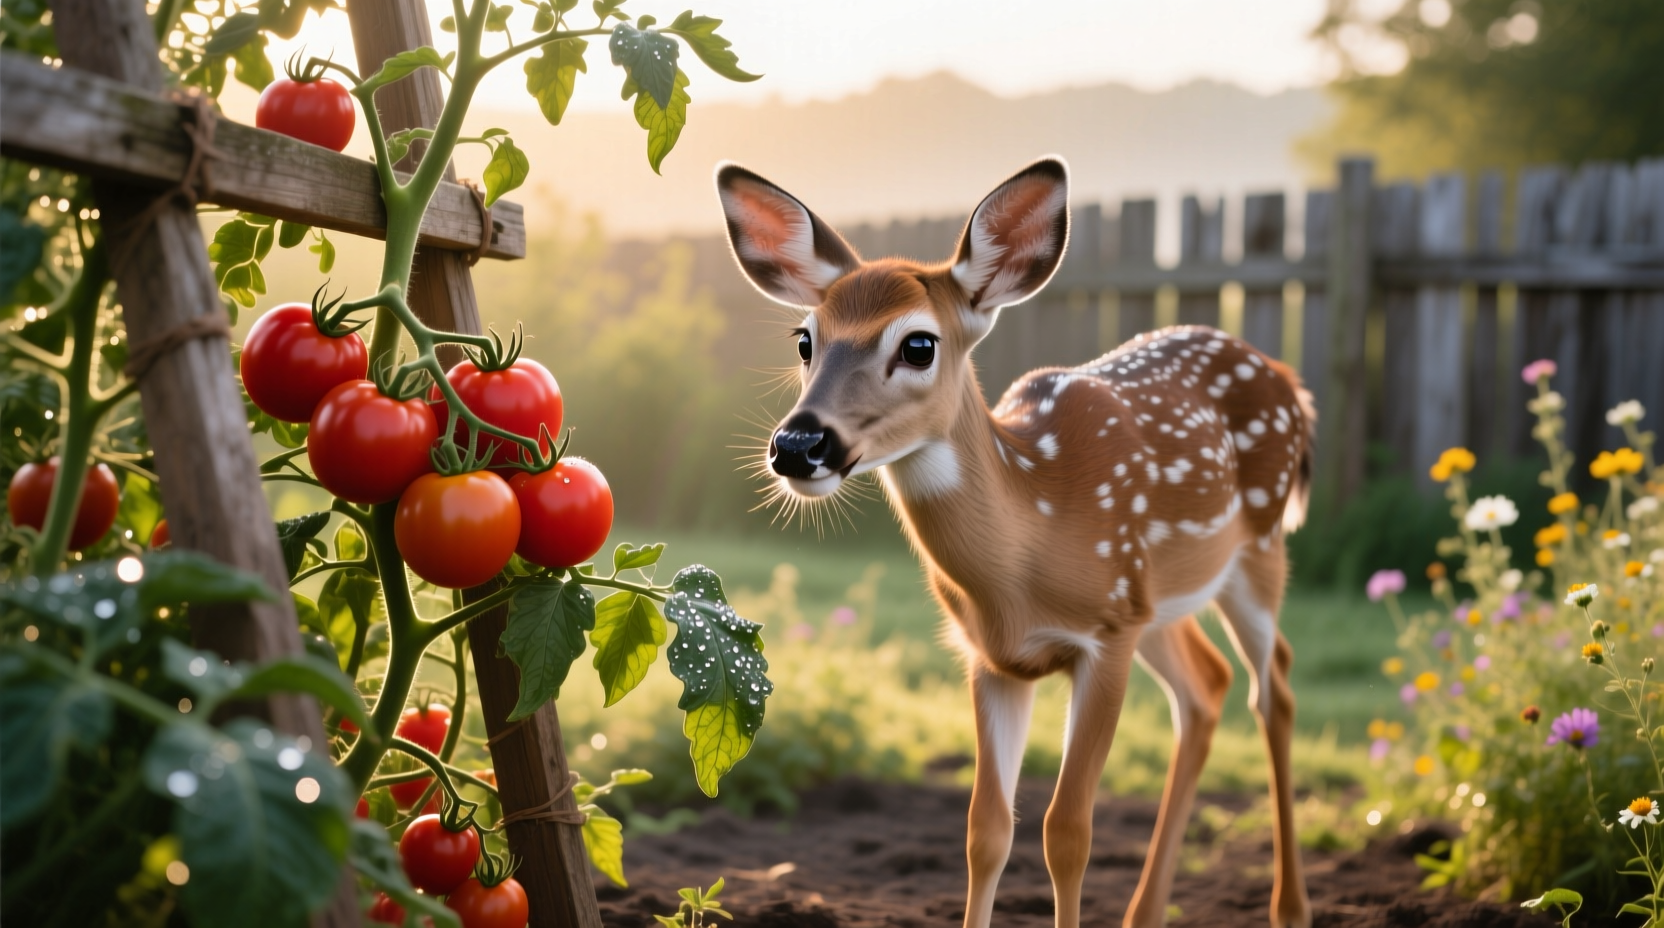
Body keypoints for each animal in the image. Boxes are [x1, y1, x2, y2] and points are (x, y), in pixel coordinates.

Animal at [714, 156, 1315, 928]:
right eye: (804, 340)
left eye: (918, 344)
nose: (798, 445)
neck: (1027, 554)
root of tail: (1289, 381)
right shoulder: (993, 657)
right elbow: (986, 830)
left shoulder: (1106, 635)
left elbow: (1068, 830)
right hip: (1160, 600)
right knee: (1206, 688)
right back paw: (1144, 912)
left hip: (1257, 550)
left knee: (1276, 689)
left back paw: (1289, 907)